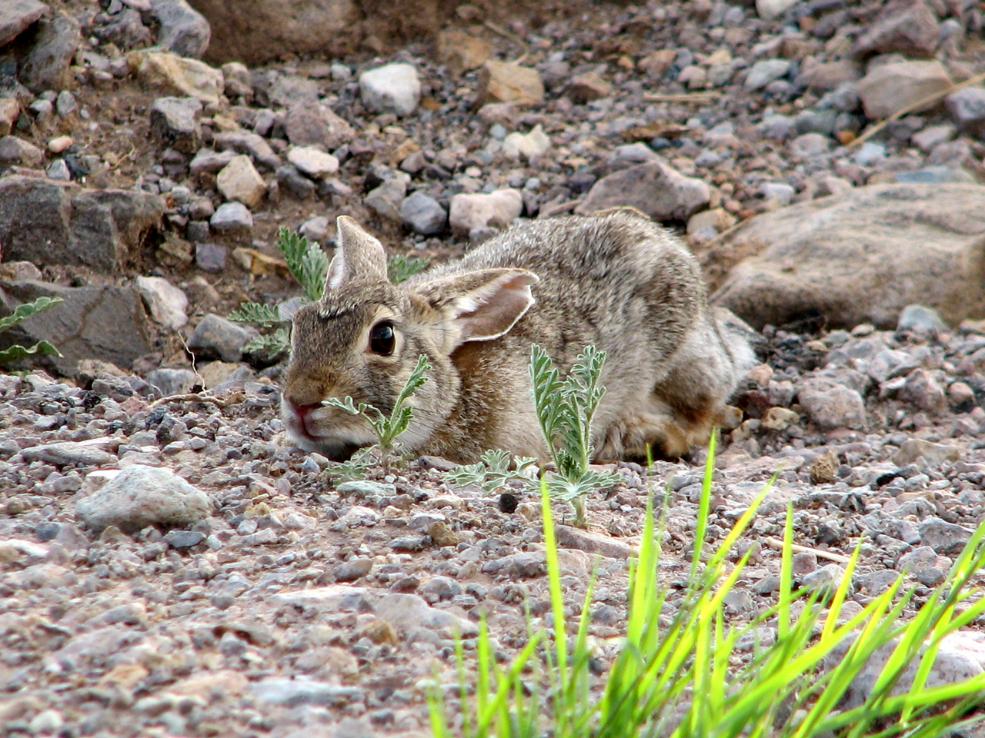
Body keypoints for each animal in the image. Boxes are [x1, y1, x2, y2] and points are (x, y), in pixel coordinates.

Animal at [280, 208, 756, 460]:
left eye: (383, 338)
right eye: (299, 324)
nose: (301, 402)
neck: (454, 393)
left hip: (682, 363)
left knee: (707, 418)